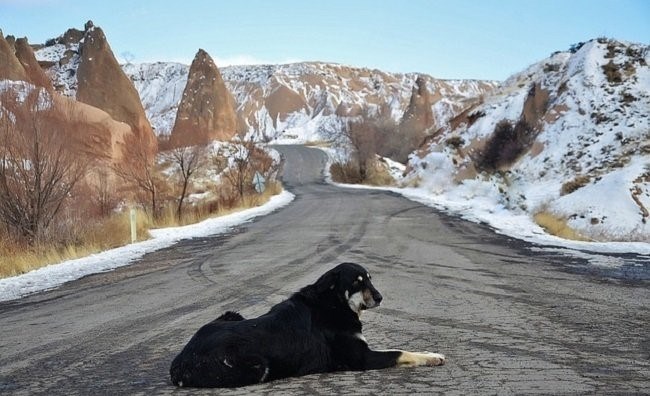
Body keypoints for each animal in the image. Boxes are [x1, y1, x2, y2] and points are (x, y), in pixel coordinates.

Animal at [170, 262, 442, 388]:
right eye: (356, 282)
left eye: (369, 279)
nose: (379, 297)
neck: (334, 303)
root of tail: (180, 360)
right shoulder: (362, 359)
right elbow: (401, 351)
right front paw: (431, 357)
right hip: (256, 366)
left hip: (231, 315)